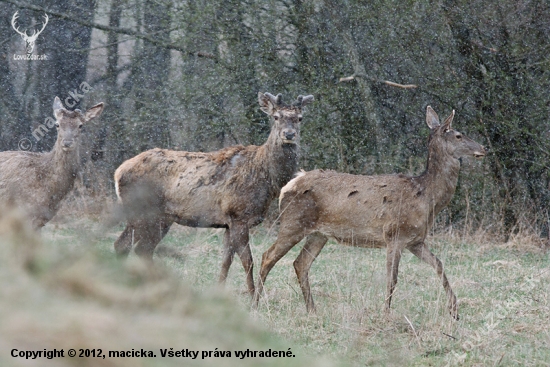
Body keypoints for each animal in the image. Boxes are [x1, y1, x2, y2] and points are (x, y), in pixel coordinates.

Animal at [114, 92, 314, 296]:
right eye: (276, 117)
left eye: (299, 118)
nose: (289, 134)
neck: (267, 179)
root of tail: (118, 172)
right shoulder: (239, 215)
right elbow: (248, 261)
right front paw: (252, 296)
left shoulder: (227, 223)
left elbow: (226, 261)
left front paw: (219, 290)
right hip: (144, 212)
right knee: (134, 247)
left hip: (160, 218)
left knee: (133, 247)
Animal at [254, 105, 488, 320]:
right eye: (458, 135)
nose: (484, 148)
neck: (425, 197)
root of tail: (289, 185)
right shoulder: (394, 235)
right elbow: (392, 279)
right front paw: (386, 314)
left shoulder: (415, 240)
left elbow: (438, 264)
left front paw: (454, 311)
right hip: (293, 222)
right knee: (267, 256)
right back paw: (255, 304)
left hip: (319, 233)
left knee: (300, 263)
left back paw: (312, 309)